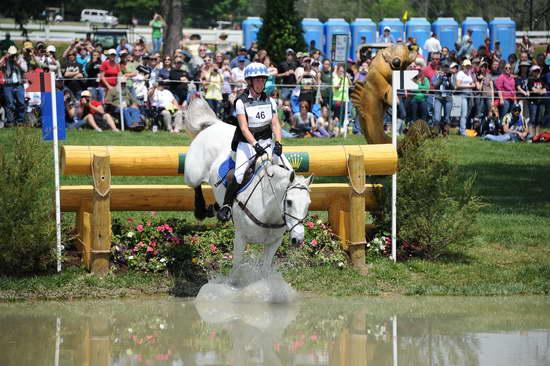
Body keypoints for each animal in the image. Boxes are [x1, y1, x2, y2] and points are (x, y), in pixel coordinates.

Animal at [181, 98, 310, 278]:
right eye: (289, 202)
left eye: (308, 204)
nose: (298, 239)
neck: (269, 210)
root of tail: (213, 124)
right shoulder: (241, 237)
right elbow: (236, 268)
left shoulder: (273, 243)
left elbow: (265, 271)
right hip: (193, 173)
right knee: (195, 185)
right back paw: (202, 210)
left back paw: (214, 209)